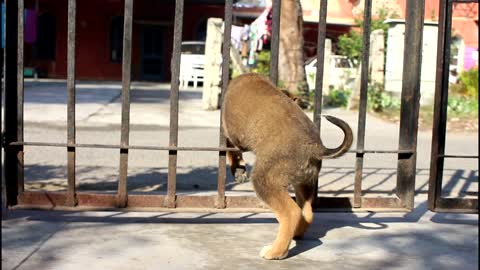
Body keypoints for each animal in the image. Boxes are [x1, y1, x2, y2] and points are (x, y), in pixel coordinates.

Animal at [221, 73, 352, 260]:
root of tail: (315, 147)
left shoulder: (232, 136)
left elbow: (232, 151)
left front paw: (238, 169)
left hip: (265, 181)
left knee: (291, 213)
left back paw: (275, 252)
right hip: (304, 183)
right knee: (307, 213)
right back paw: (295, 234)